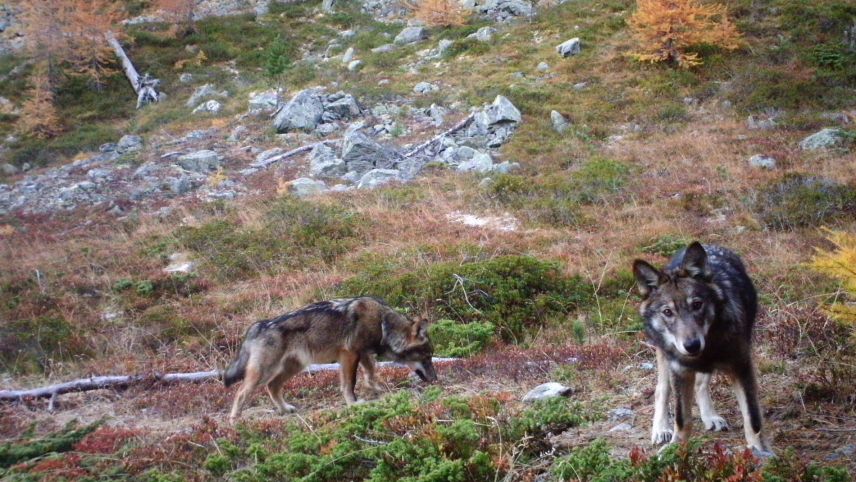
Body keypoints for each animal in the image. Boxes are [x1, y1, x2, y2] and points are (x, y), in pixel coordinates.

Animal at [223, 297, 436, 423]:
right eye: (426, 357)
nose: (435, 380)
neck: (382, 324)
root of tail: (257, 326)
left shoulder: (363, 354)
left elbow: (371, 375)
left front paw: (377, 390)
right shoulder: (349, 354)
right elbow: (350, 383)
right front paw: (353, 404)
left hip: (293, 368)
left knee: (272, 387)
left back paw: (285, 409)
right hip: (265, 372)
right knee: (241, 393)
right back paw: (234, 422)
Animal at [633, 241, 773, 454]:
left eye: (697, 304)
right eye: (668, 312)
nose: (692, 346)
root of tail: (709, 244)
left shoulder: (742, 368)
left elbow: (752, 417)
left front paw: (758, 451)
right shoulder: (680, 371)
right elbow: (682, 419)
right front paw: (675, 450)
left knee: (700, 384)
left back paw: (710, 417)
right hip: (664, 356)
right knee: (661, 389)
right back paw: (661, 429)